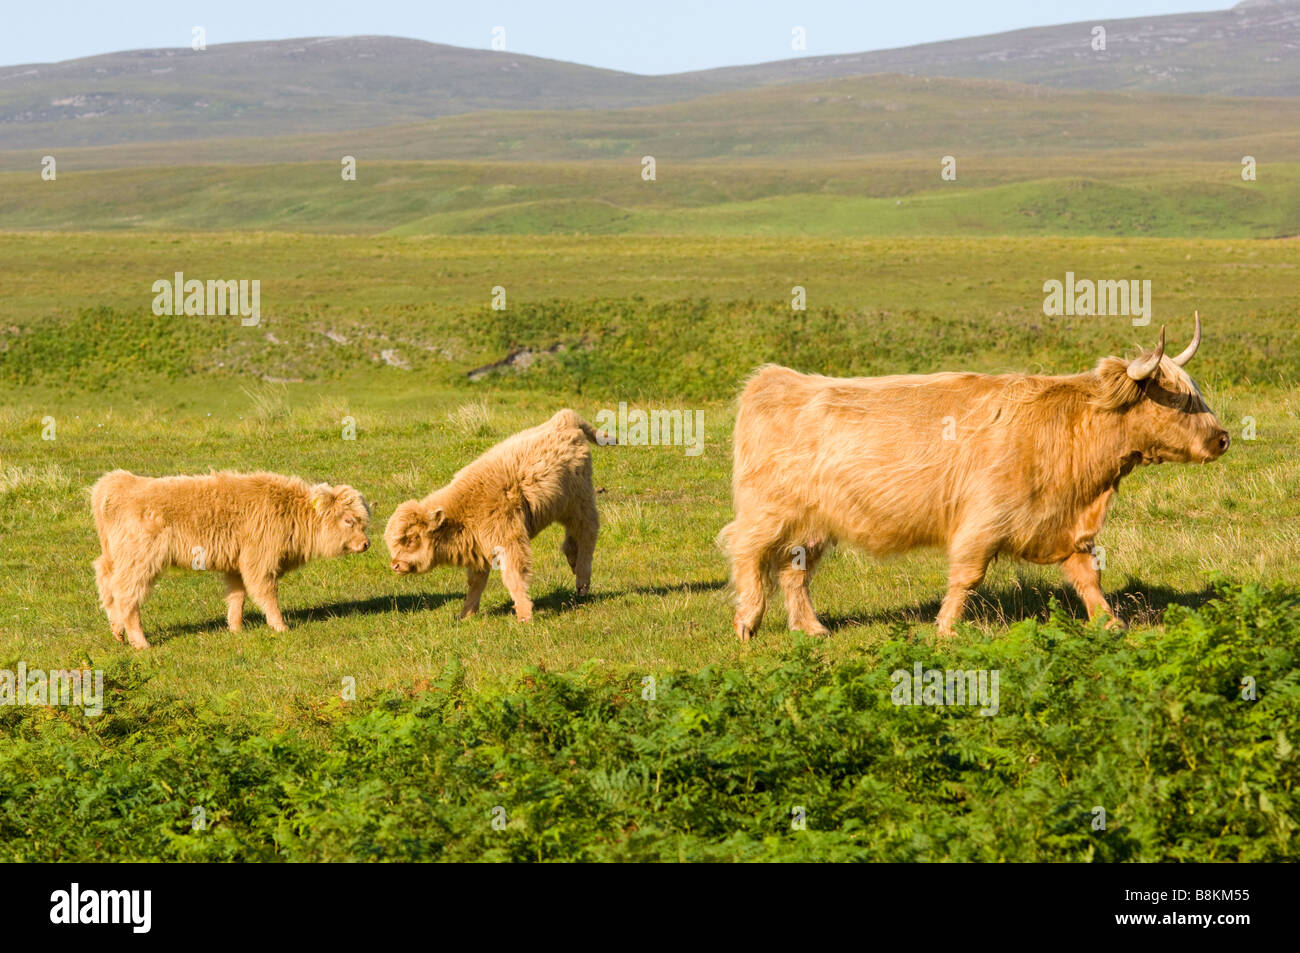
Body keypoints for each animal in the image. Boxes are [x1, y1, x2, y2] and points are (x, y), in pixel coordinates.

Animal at [91, 468, 371, 647]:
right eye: (349, 520)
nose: (366, 544)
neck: (289, 510)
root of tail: (121, 483)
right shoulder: (259, 561)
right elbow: (266, 594)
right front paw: (280, 627)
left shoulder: (237, 565)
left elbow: (237, 597)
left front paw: (235, 629)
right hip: (139, 561)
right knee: (126, 594)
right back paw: (141, 642)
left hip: (115, 558)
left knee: (107, 585)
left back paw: (118, 633)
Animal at [384, 408, 608, 624]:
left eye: (412, 538)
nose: (395, 565)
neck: (460, 512)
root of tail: (564, 418)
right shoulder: (478, 549)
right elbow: (475, 583)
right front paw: (465, 615)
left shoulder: (508, 542)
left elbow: (514, 576)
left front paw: (524, 615)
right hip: (564, 507)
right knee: (572, 535)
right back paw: (573, 562)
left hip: (580, 502)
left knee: (587, 532)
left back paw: (582, 582)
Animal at [722, 317, 1227, 639]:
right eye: (1181, 399)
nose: (1223, 438)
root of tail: (774, 379)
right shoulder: (982, 521)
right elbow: (966, 577)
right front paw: (946, 629)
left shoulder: (1067, 528)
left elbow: (1089, 578)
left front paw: (1110, 622)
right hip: (768, 511)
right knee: (747, 552)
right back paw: (748, 622)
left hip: (812, 526)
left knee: (794, 572)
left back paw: (812, 628)